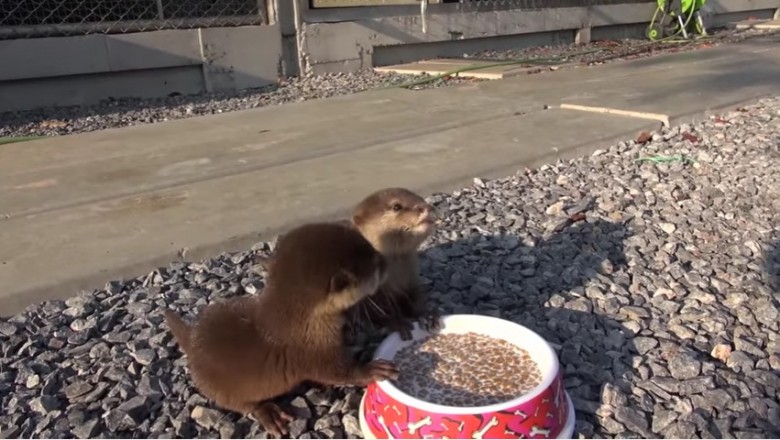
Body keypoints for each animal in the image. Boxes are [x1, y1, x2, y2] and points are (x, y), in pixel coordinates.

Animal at [163, 222, 396, 438]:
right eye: (376, 266)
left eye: (373, 249)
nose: (386, 260)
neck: (303, 324)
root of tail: (191, 340)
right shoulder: (310, 353)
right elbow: (334, 372)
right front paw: (371, 370)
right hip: (218, 388)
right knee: (243, 404)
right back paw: (269, 415)